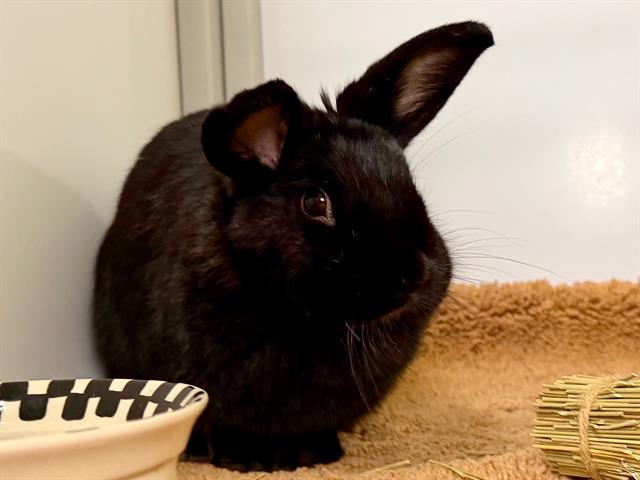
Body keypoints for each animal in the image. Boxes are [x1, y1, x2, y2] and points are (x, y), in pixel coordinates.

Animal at [93, 21, 493, 471]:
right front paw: (244, 459)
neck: (299, 320)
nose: (415, 272)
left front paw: (314, 453)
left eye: (408, 181)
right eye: (316, 202)